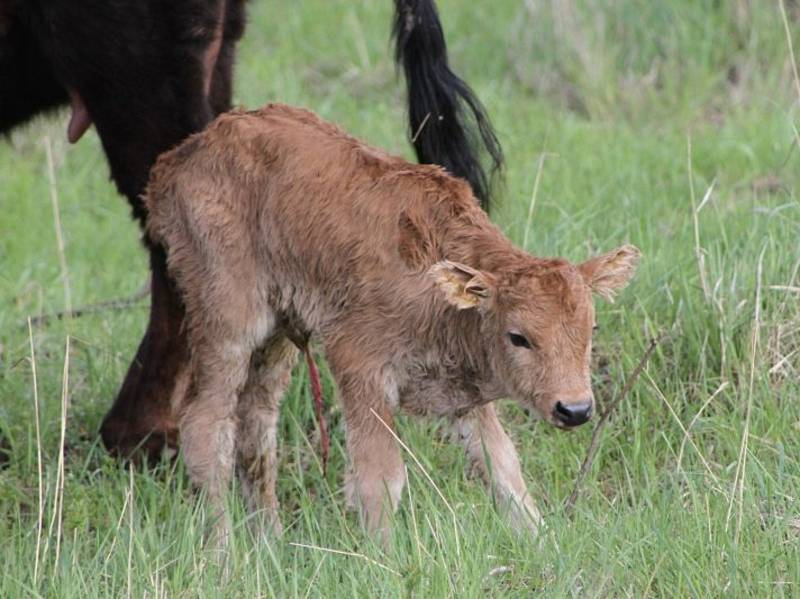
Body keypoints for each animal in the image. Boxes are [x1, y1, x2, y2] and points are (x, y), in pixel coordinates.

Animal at [145, 103, 644, 544]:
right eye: (518, 337)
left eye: (590, 330)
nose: (575, 409)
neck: (440, 288)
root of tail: (178, 160)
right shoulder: (360, 368)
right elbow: (380, 479)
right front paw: (384, 558)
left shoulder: (464, 398)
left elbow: (502, 466)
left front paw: (541, 543)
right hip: (229, 324)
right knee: (206, 425)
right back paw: (224, 557)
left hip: (279, 337)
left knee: (256, 426)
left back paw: (269, 543)